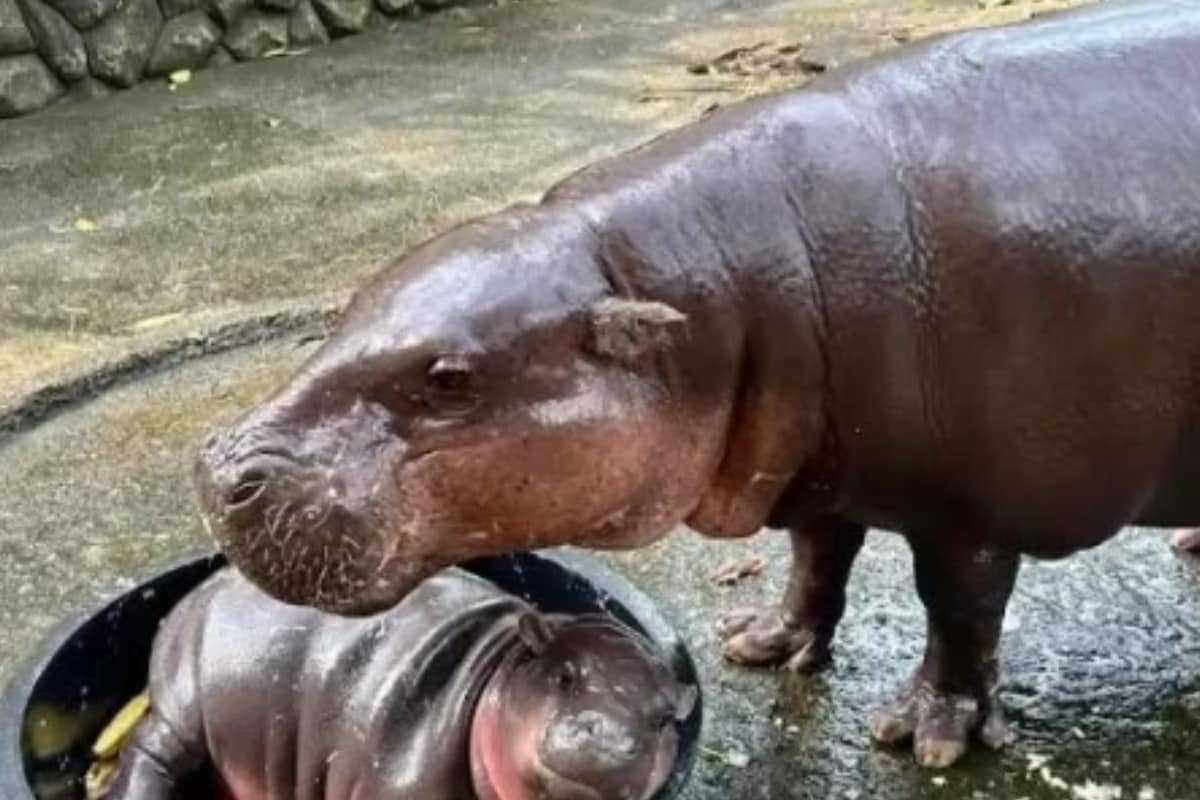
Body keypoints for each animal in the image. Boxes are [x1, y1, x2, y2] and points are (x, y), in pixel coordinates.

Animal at [108, 566, 700, 800]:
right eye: (565, 673)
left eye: (665, 719)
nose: (611, 738)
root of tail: (199, 590)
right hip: (183, 703)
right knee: (152, 751)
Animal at [194, 3, 1200, 772]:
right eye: (356, 299)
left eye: (449, 379)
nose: (218, 470)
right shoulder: (816, 460)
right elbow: (817, 555)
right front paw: (763, 644)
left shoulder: (970, 515)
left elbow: (956, 616)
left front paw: (928, 738)